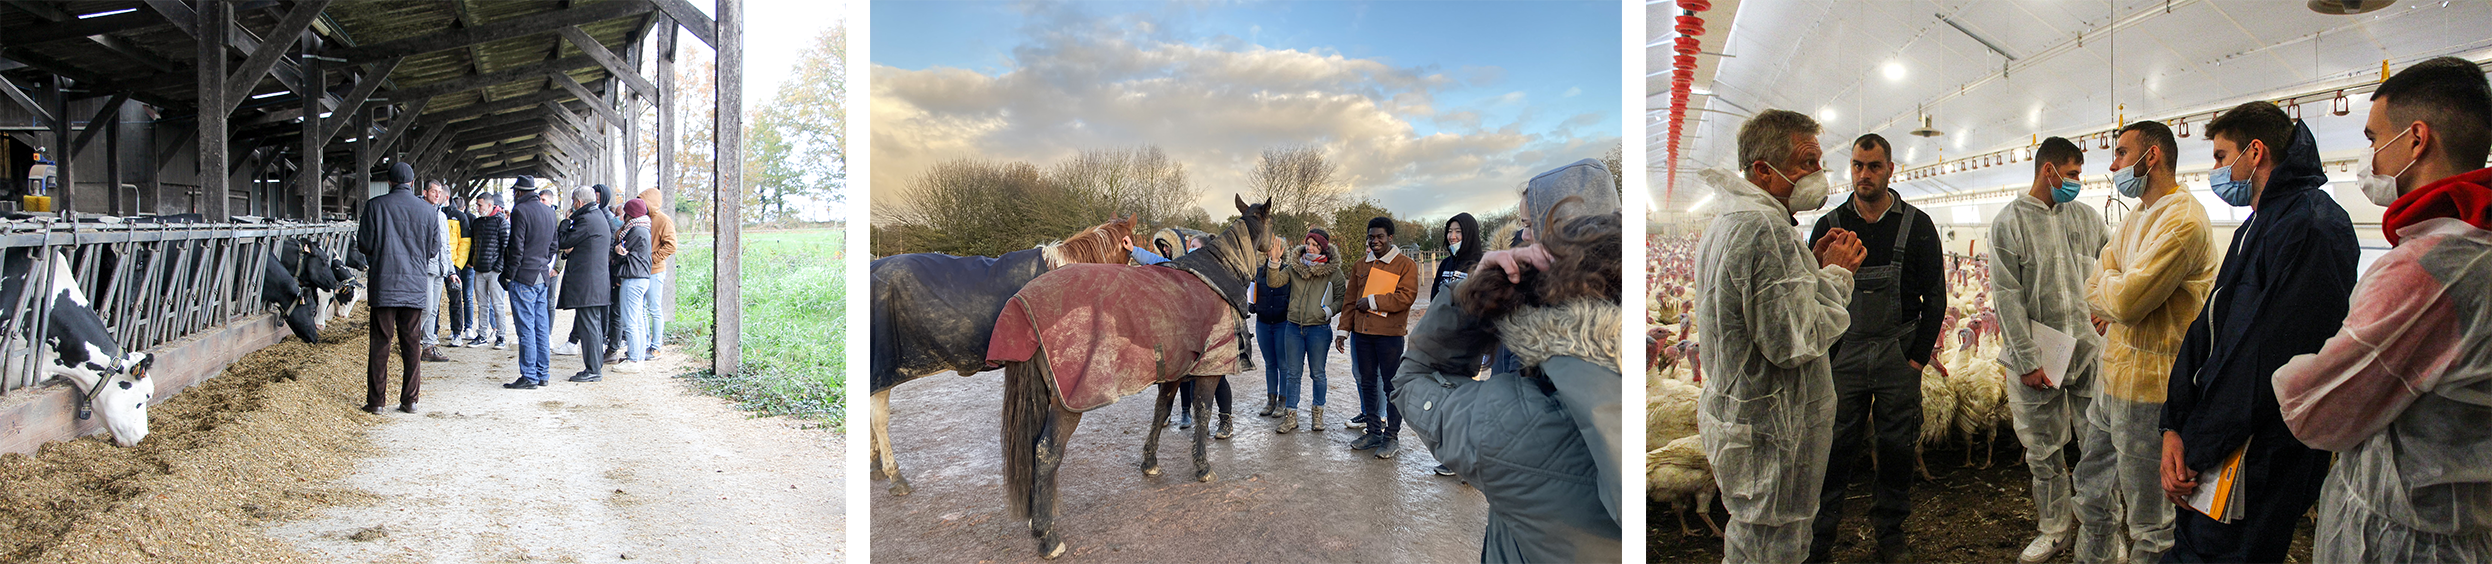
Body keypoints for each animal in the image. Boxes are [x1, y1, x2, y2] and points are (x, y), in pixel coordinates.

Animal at [986, 195, 1275, 556]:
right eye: (1273, 223)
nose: (1277, 249)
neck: (1215, 278)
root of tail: (1021, 303)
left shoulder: (1174, 374)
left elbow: (1160, 413)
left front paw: (1150, 463)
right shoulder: (1209, 370)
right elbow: (1203, 413)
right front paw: (1203, 467)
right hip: (1068, 403)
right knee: (1046, 452)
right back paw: (1047, 536)